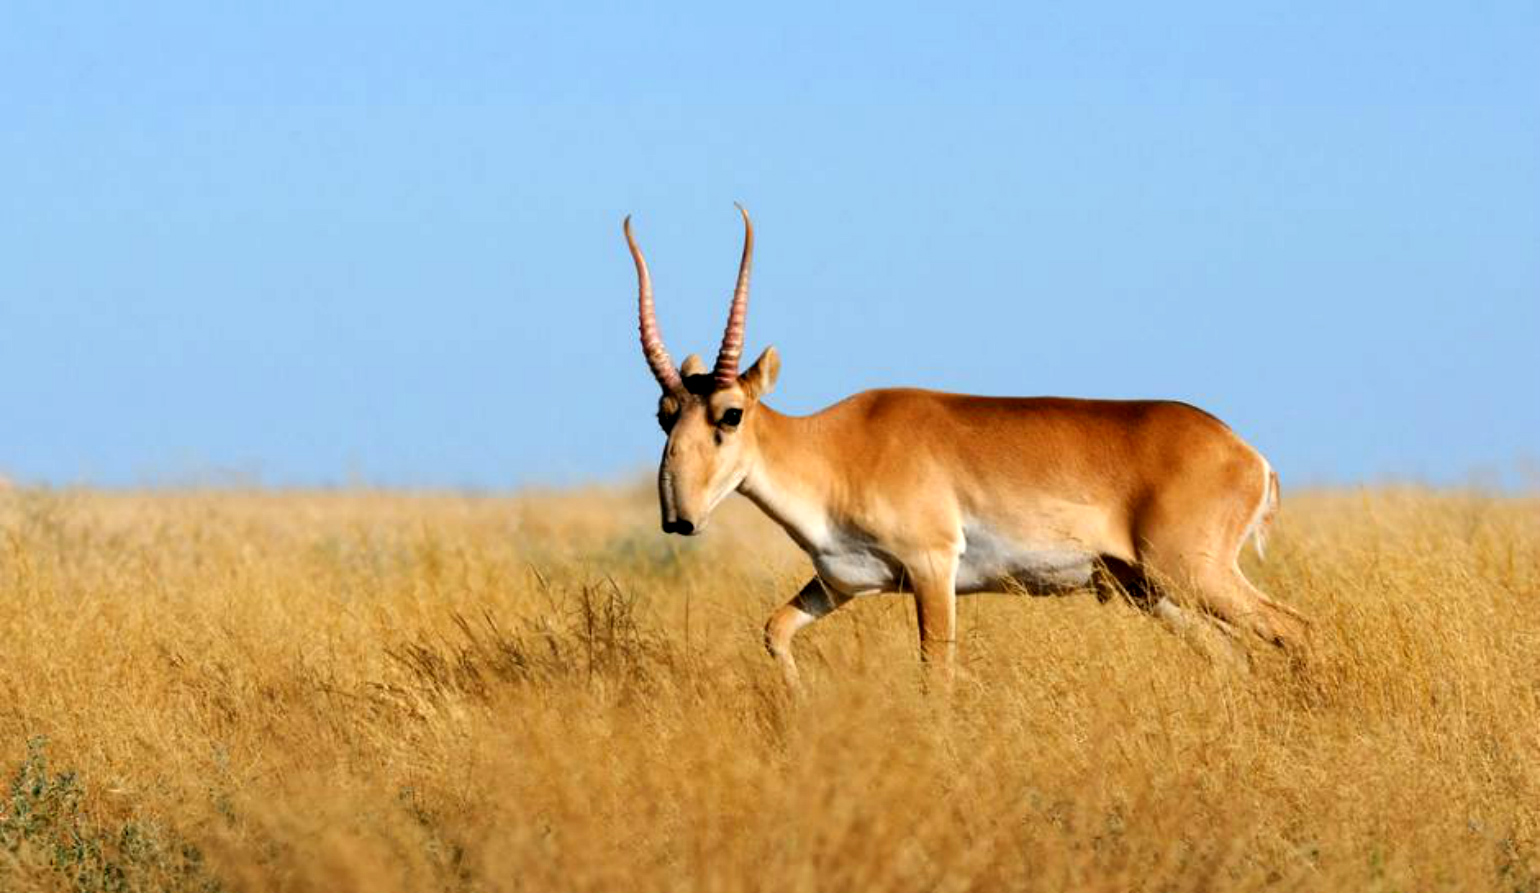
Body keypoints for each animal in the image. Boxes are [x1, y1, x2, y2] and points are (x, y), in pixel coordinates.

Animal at [625, 207, 1308, 685]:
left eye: (731, 413)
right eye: (663, 415)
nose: (679, 518)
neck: (834, 447)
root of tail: (1246, 453)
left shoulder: (934, 570)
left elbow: (938, 675)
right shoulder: (840, 584)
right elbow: (775, 631)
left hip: (1193, 574)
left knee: (1293, 629)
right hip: (1152, 591)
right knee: (1234, 657)